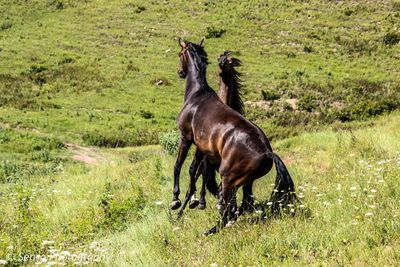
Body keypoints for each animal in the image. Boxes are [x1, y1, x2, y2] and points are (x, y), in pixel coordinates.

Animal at [173, 38, 296, 236]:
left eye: (179, 54)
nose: (181, 72)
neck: (197, 93)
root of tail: (267, 152)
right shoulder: (202, 148)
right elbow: (194, 173)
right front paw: (190, 203)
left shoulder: (186, 137)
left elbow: (178, 167)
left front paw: (175, 201)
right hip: (245, 181)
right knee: (240, 204)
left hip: (228, 178)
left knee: (228, 208)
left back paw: (209, 231)